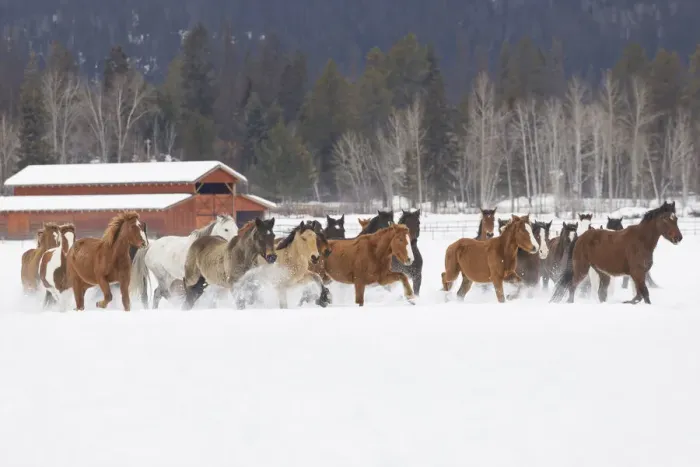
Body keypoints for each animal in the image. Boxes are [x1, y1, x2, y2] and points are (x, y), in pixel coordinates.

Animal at [550, 201, 682, 305]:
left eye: (676, 219)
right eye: (665, 218)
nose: (678, 238)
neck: (641, 241)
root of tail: (580, 237)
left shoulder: (640, 274)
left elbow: (639, 295)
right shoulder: (637, 273)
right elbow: (644, 294)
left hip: (602, 273)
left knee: (601, 293)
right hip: (582, 269)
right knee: (572, 286)